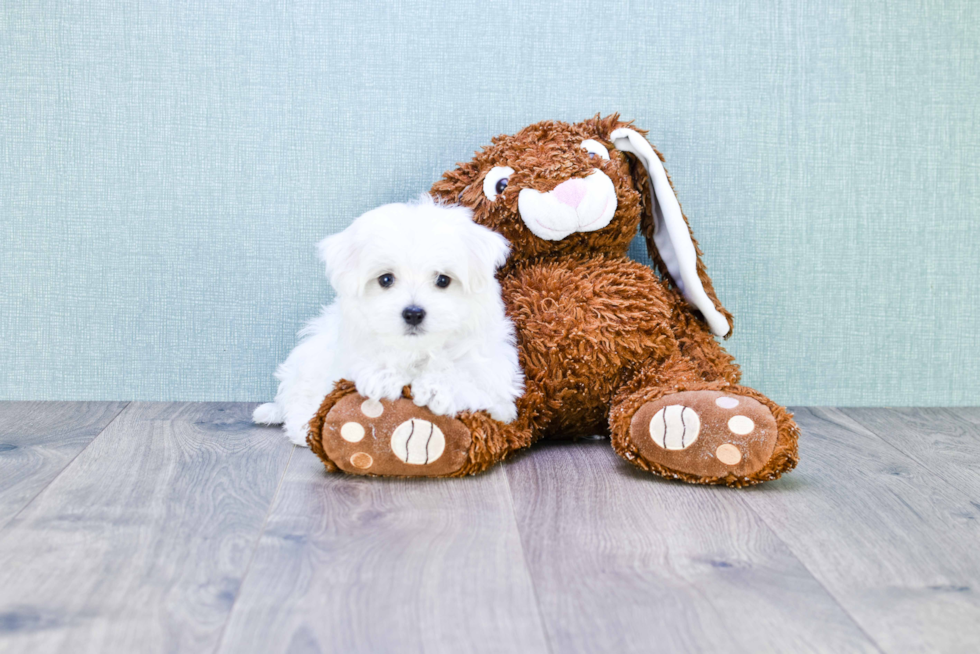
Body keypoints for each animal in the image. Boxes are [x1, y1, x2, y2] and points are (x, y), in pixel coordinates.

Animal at [256, 195, 524, 446]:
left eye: (443, 280)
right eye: (386, 279)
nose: (413, 313)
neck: (418, 350)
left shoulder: (495, 379)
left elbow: (470, 378)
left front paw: (437, 387)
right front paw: (383, 376)